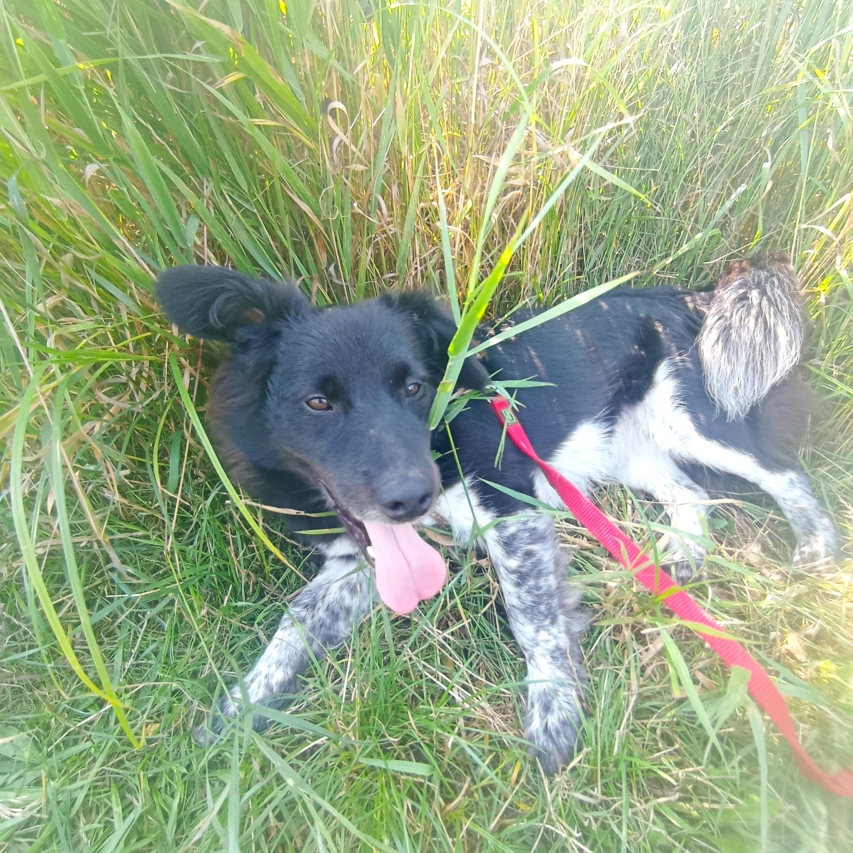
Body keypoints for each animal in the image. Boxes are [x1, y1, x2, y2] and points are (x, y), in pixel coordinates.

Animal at [158, 253, 840, 772]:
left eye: (414, 387)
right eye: (317, 402)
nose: (412, 497)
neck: (440, 435)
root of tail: (691, 297)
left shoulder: (512, 507)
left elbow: (532, 618)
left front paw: (554, 717)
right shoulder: (361, 559)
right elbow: (296, 621)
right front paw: (237, 710)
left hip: (694, 417)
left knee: (783, 473)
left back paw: (817, 549)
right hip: (621, 446)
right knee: (690, 494)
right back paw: (679, 566)